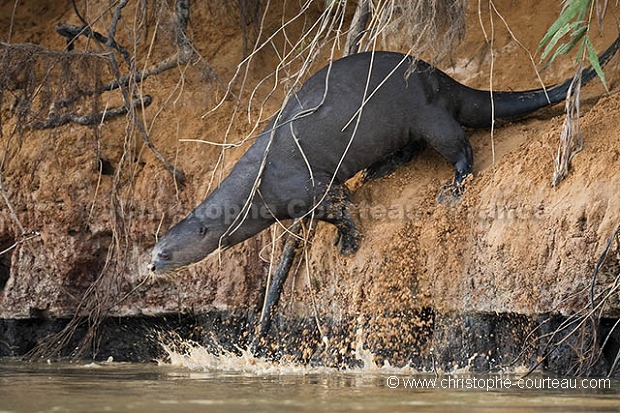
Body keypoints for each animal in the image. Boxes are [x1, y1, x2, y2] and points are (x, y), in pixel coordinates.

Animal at [147, 38, 620, 276]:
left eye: (165, 253)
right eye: (154, 247)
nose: (150, 266)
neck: (256, 185)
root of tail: (442, 78)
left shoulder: (303, 185)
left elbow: (339, 206)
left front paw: (347, 243)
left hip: (427, 112)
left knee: (459, 145)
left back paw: (454, 185)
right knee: (411, 147)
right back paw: (381, 167)